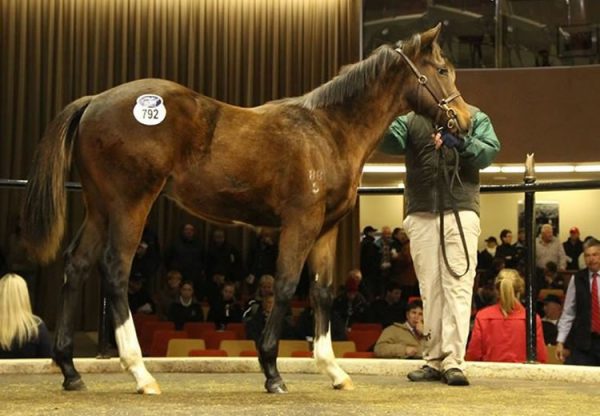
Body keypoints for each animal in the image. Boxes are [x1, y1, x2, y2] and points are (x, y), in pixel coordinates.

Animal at [21, 24, 472, 394]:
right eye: (443, 70)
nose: (464, 122)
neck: (327, 131)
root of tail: (95, 100)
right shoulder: (300, 223)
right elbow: (287, 285)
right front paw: (272, 370)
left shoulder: (326, 228)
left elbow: (323, 291)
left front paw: (333, 370)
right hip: (130, 204)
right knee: (116, 271)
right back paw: (141, 374)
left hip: (100, 208)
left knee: (77, 265)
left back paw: (70, 371)